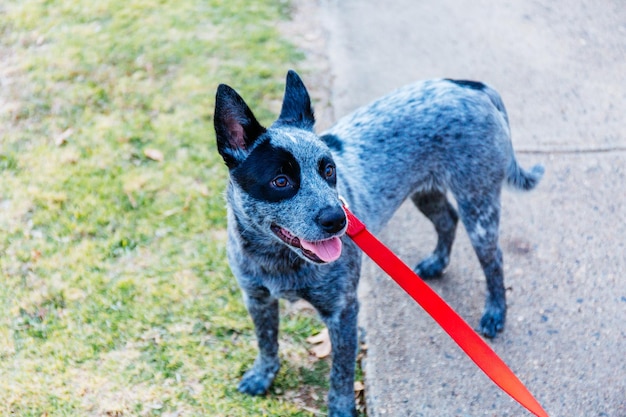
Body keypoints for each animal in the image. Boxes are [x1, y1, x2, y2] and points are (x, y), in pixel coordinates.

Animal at [211, 70, 540, 414]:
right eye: (280, 181)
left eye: (329, 170)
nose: (337, 219)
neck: (278, 260)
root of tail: (469, 86)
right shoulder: (256, 298)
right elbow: (266, 341)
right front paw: (263, 375)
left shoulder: (343, 311)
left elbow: (341, 371)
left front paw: (341, 408)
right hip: (427, 192)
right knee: (447, 219)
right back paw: (436, 263)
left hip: (479, 205)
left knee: (493, 259)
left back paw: (495, 312)